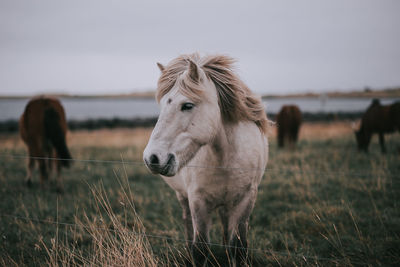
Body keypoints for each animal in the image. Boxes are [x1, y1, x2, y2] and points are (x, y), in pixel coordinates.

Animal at [144, 53, 268, 266]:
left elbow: (239, 247)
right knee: (187, 221)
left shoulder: (245, 200)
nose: (152, 158)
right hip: (183, 196)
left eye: (187, 105)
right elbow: (200, 248)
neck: (225, 159)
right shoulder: (198, 201)